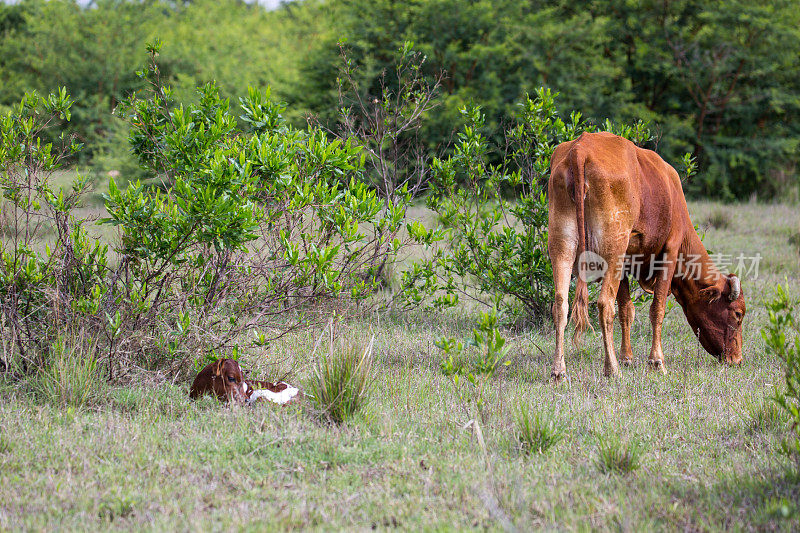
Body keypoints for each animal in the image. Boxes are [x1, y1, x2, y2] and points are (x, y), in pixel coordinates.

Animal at [548, 130, 748, 376]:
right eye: (738, 314)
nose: (736, 360)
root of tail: (581, 147)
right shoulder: (670, 250)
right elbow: (657, 309)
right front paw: (656, 360)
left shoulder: (626, 261)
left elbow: (626, 310)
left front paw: (627, 357)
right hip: (612, 250)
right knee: (604, 304)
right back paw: (612, 369)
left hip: (562, 246)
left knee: (561, 304)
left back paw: (559, 370)